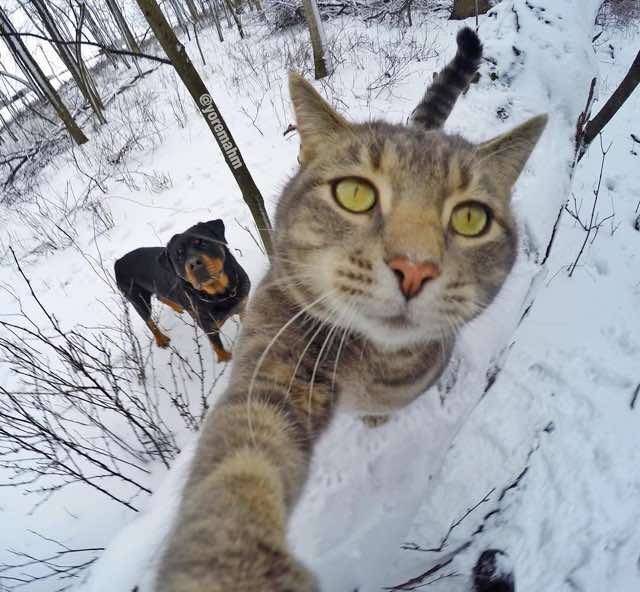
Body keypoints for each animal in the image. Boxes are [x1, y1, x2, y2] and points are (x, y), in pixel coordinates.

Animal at [114, 220, 249, 364]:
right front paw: (225, 359)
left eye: (202, 242)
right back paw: (161, 339)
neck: (220, 294)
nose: (194, 263)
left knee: (161, 297)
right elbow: (217, 344)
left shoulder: (243, 304)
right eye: (178, 256)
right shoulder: (208, 326)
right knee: (148, 320)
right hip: (137, 299)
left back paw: (177, 307)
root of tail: (118, 262)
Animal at [155, 28, 544, 592]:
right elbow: (243, 457)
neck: (370, 361)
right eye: (355, 193)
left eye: (471, 218)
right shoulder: (277, 357)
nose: (414, 268)